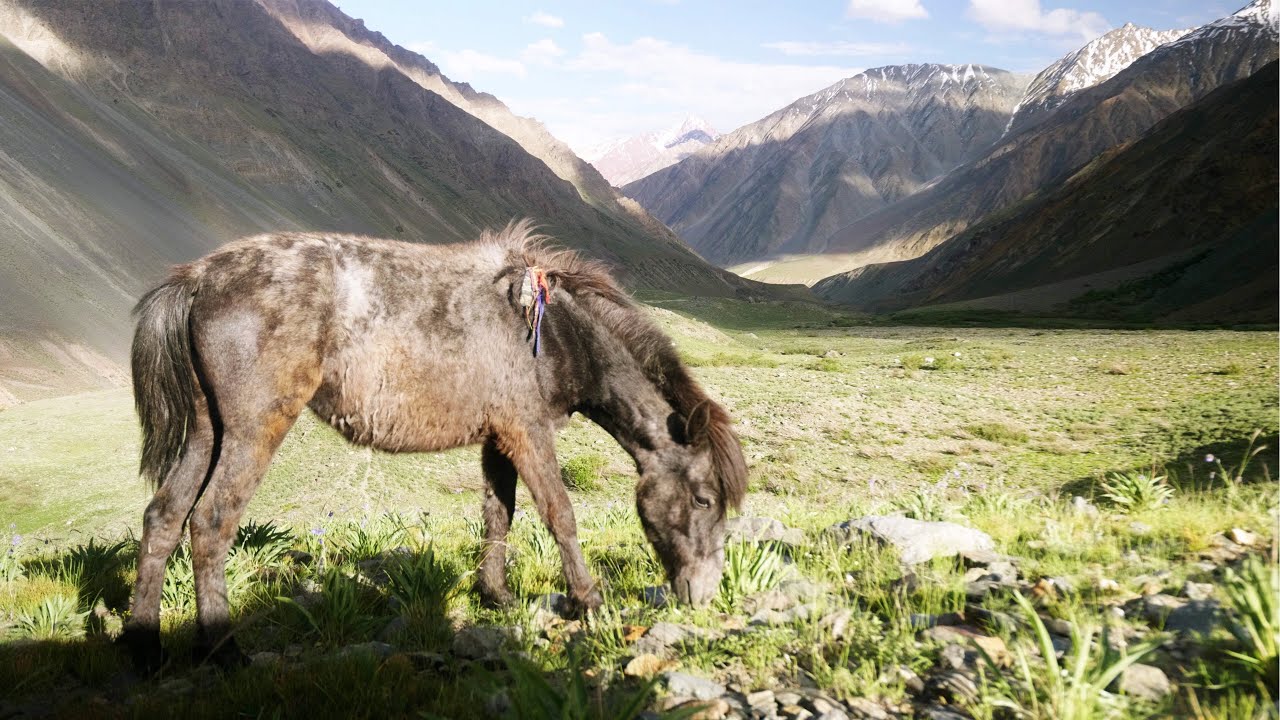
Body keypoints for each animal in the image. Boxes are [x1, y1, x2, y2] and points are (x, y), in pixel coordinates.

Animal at [121, 220, 747, 669]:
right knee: (211, 522)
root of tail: (199, 277)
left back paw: (145, 648)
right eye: (703, 500)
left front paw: (495, 595)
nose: (702, 595)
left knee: (164, 517)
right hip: (255, 429)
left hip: (209, 431)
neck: (554, 332)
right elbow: (558, 512)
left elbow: (499, 513)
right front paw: (588, 601)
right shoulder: (526, 429)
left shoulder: (499, 436)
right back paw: (223, 649)